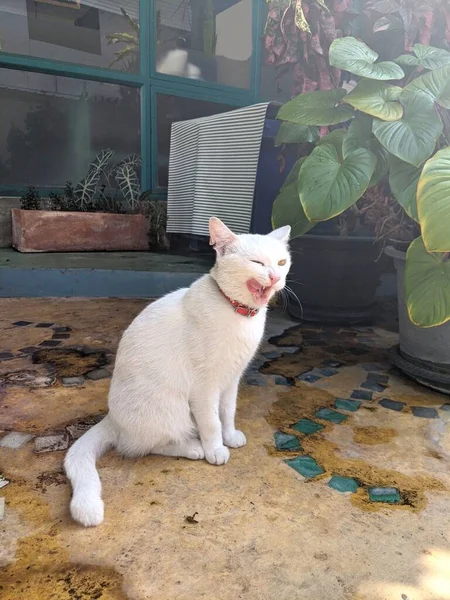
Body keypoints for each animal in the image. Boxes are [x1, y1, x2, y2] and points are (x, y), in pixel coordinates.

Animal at [65, 217, 292, 524]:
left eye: (281, 262)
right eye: (257, 262)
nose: (275, 277)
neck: (239, 314)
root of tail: (112, 419)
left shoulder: (231, 379)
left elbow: (227, 412)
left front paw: (230, 436)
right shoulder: (205, 388)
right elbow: (211, 422)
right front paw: (215, 449)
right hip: (171, 408)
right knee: (144, 446)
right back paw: (193, 447)